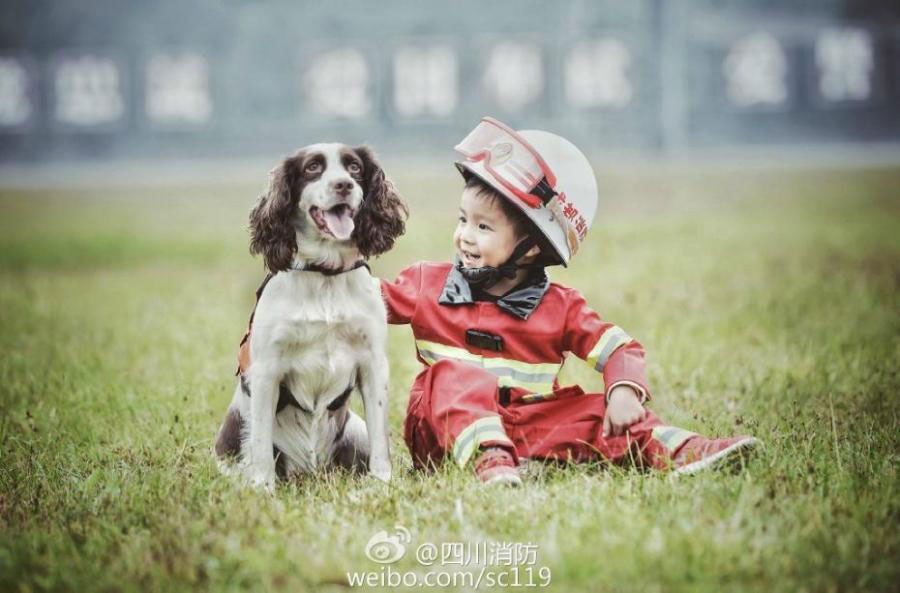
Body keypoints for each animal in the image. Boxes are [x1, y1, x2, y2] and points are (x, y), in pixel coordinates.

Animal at [213, 143, 406, 490]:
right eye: (313, 168)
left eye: (355, 168)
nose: (343, 185)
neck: (324, 273)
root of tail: (310, 471)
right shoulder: (266, 370)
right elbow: (261, 443)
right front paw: (263, 490)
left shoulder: (373, 363)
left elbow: (381, 440)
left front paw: (382, 484)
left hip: (354, 430)